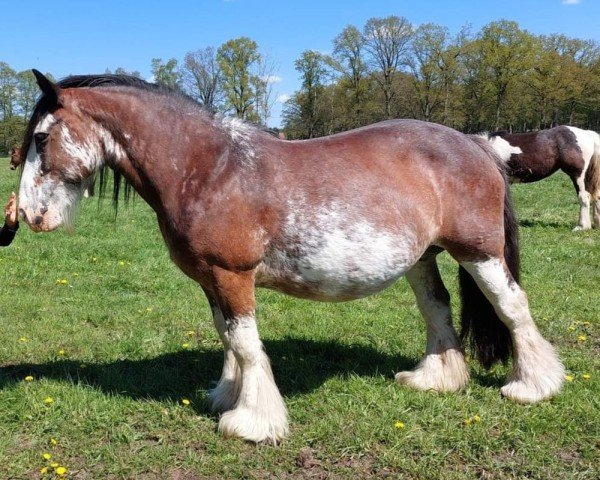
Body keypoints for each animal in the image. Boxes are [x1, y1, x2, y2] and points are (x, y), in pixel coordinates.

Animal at [17, 72, 564, 446]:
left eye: (42, 138)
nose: (26, 214)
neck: (207, 168)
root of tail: (477, 145)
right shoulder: (210, 280)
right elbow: (229, 339)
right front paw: (228, 396)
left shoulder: (232, 275)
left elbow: (245, 343)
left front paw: (252, 421)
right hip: (422, 258)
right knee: (437, 308)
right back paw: (435, 379)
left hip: (479, 251)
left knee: (512, 307)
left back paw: (533, 386)